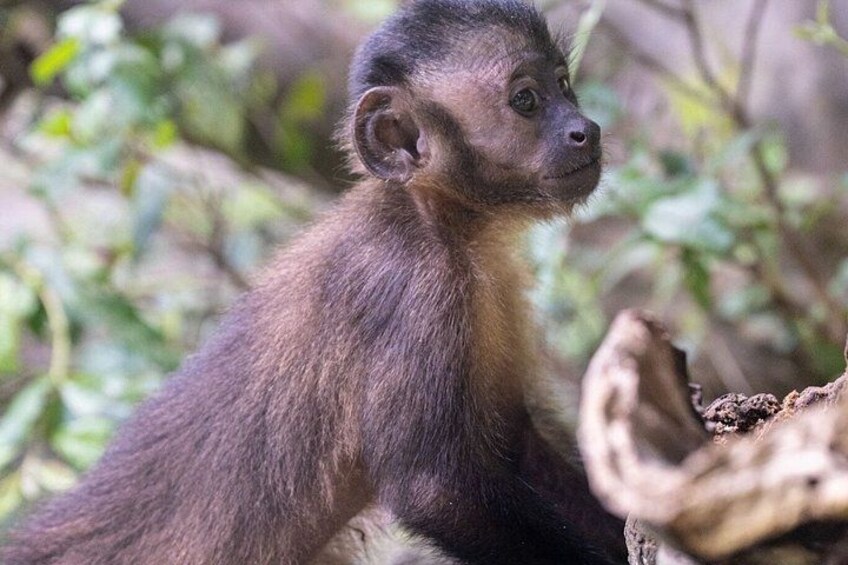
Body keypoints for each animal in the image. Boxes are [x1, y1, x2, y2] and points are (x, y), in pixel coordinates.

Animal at [2, 0, 625, 563]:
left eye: (564, 85)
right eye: (526, 101)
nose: (585, 129)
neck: (434, 220)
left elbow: (518, 440)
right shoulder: (412, 286)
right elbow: (435, 491)